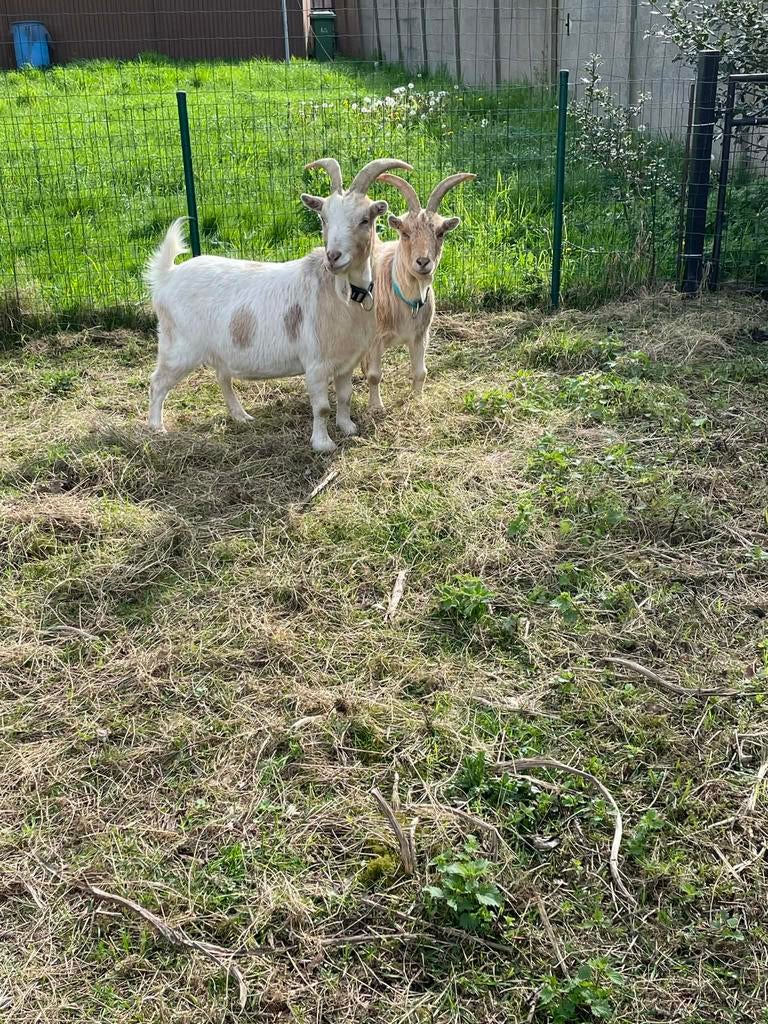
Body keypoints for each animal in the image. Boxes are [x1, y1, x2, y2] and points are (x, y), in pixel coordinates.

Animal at [145, 157, 411, 452]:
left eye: (365, 220)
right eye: (324, 218)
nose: (333, 257)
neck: (340, 295)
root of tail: (166, 277)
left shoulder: (345, 362)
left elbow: (345, 397)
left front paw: (348, 427)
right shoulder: (316, 364)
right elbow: (321, 407)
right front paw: (323, 444)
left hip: (216, 348)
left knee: (222, 377)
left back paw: (241, 416)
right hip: (179, 347)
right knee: (157, 382)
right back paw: (157, 428)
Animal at [364, 172, 475, 413]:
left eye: (440, 233)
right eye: (405, 232)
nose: (423, 262)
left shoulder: (420, 336)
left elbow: (420, 372)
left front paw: (417, 399)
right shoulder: (376, 338)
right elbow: (375, 375)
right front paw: (376, 407)